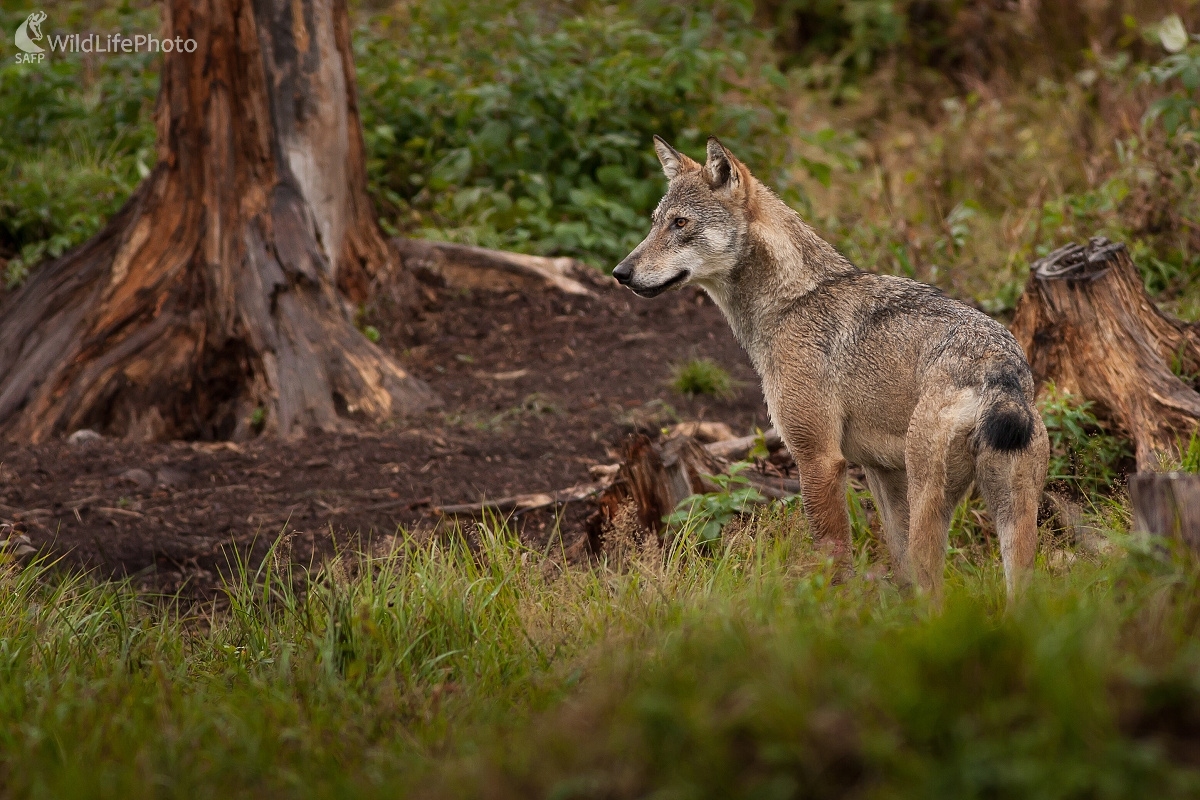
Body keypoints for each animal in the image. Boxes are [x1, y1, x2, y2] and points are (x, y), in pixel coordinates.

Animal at [614, 136, 1046, 599]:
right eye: (655, 224)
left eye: (680, 223)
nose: (620, 272)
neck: (790, 304)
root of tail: (1001, 368)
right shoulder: (881, 471)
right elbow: (898, 566)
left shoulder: (818, 458)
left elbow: (834, 561)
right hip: (1014, 520)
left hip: (933, 495)